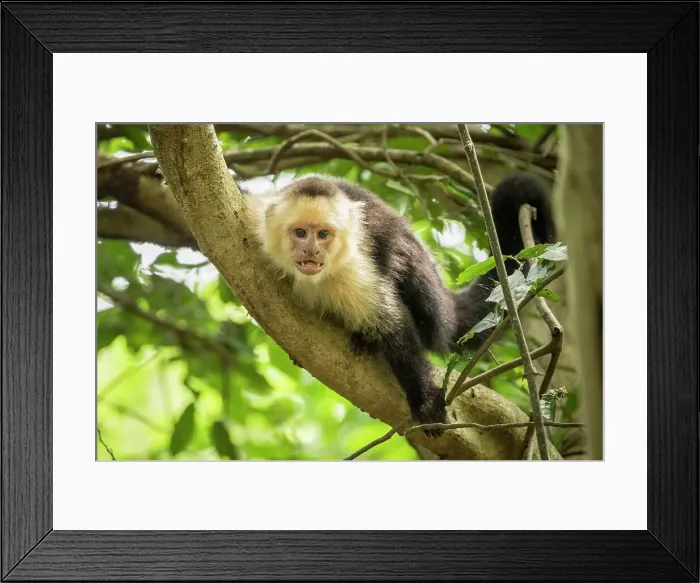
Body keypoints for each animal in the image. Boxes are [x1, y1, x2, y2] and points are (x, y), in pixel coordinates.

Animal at [246, 172, 555, 437]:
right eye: (300, 233)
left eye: (323, 235)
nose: (311, 251)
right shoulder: (253, 217)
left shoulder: (354, 269)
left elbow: (394, 327)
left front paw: (425, 404)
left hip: (429, 298)